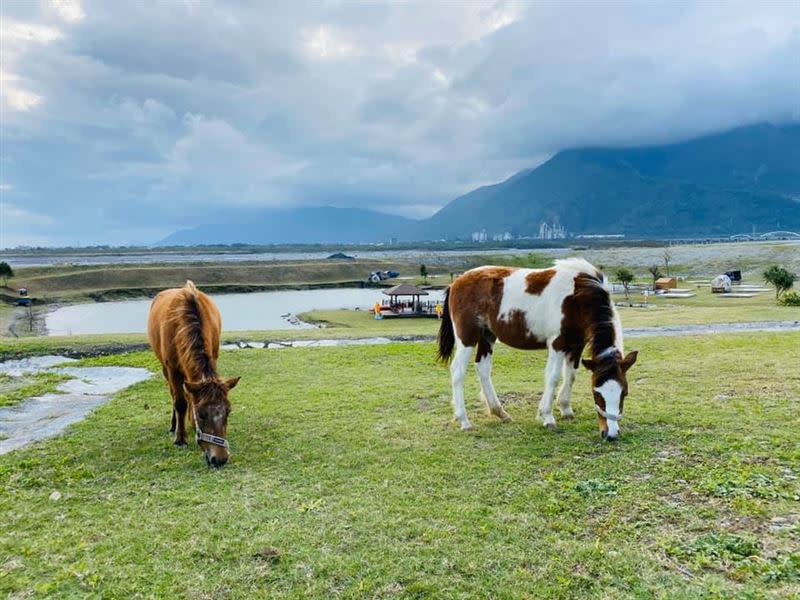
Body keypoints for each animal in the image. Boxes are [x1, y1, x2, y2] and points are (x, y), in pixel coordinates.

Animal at [148, 278, 241, 466]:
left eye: (228, 411)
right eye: (201, 414)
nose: (219, 459)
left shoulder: (213, 357)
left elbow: (190, 397)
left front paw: (190, 424)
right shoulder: (172, 369)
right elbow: (179, 402)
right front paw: (180, 438)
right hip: (165, 369)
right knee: (174, 395)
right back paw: (175, 425)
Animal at [438, 258, 636, 440]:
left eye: (624, 393)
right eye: (596, 393)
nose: (610, 434)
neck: (577, 295)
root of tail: (455, 283)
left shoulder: (577, 344)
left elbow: (571, 375)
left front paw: (565, 408)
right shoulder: (557, 343)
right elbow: (553, 377)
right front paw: (547, 416)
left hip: (488, 336)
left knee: (483, 368)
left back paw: (500, 412)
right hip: (467, 338)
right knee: (458, 371)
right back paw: (464, 421)